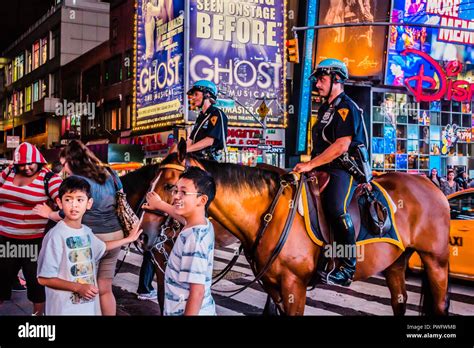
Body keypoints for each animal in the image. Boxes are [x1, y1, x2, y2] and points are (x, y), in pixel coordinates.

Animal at [128, 143, 450, 316]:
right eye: (151, 182)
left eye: (171, 186)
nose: (142, 234)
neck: (266, 213)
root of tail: (431, 184)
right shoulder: (274, 286)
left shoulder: (294, 286)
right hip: (397, 263)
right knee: (399, 302)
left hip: (436, 262)